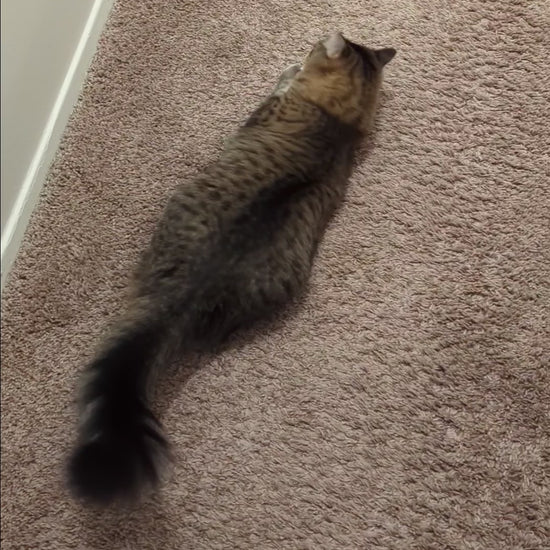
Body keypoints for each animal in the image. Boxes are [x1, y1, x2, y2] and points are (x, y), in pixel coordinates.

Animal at [67, 31, 396, 505]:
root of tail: (187, 293)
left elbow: (283, 82)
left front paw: (291, 68)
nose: (316, 37)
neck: (335, 123)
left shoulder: (268, 107)